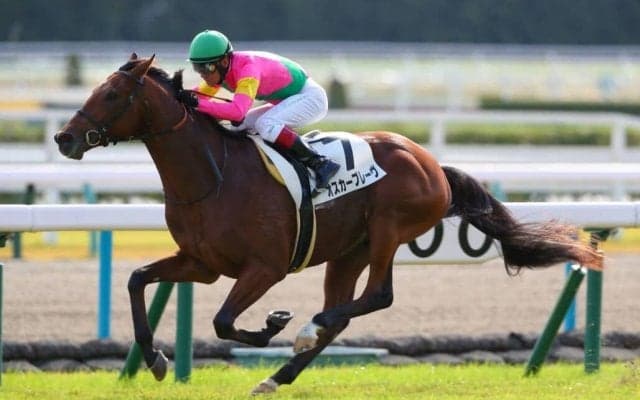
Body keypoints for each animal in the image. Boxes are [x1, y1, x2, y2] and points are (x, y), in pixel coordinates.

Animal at [54, 54, 602, 394]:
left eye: (112, 94)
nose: (64, 138)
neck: (213, 176)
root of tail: (431, 163)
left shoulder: (265, 267)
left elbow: (224, 321)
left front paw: (274, 324)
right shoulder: (201, 263)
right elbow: (136, 279)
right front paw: (155, 359)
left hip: (387, 230)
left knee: (376, 296)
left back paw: (303, 331)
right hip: (347, 251)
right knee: (342, 313)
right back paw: (277, 376)